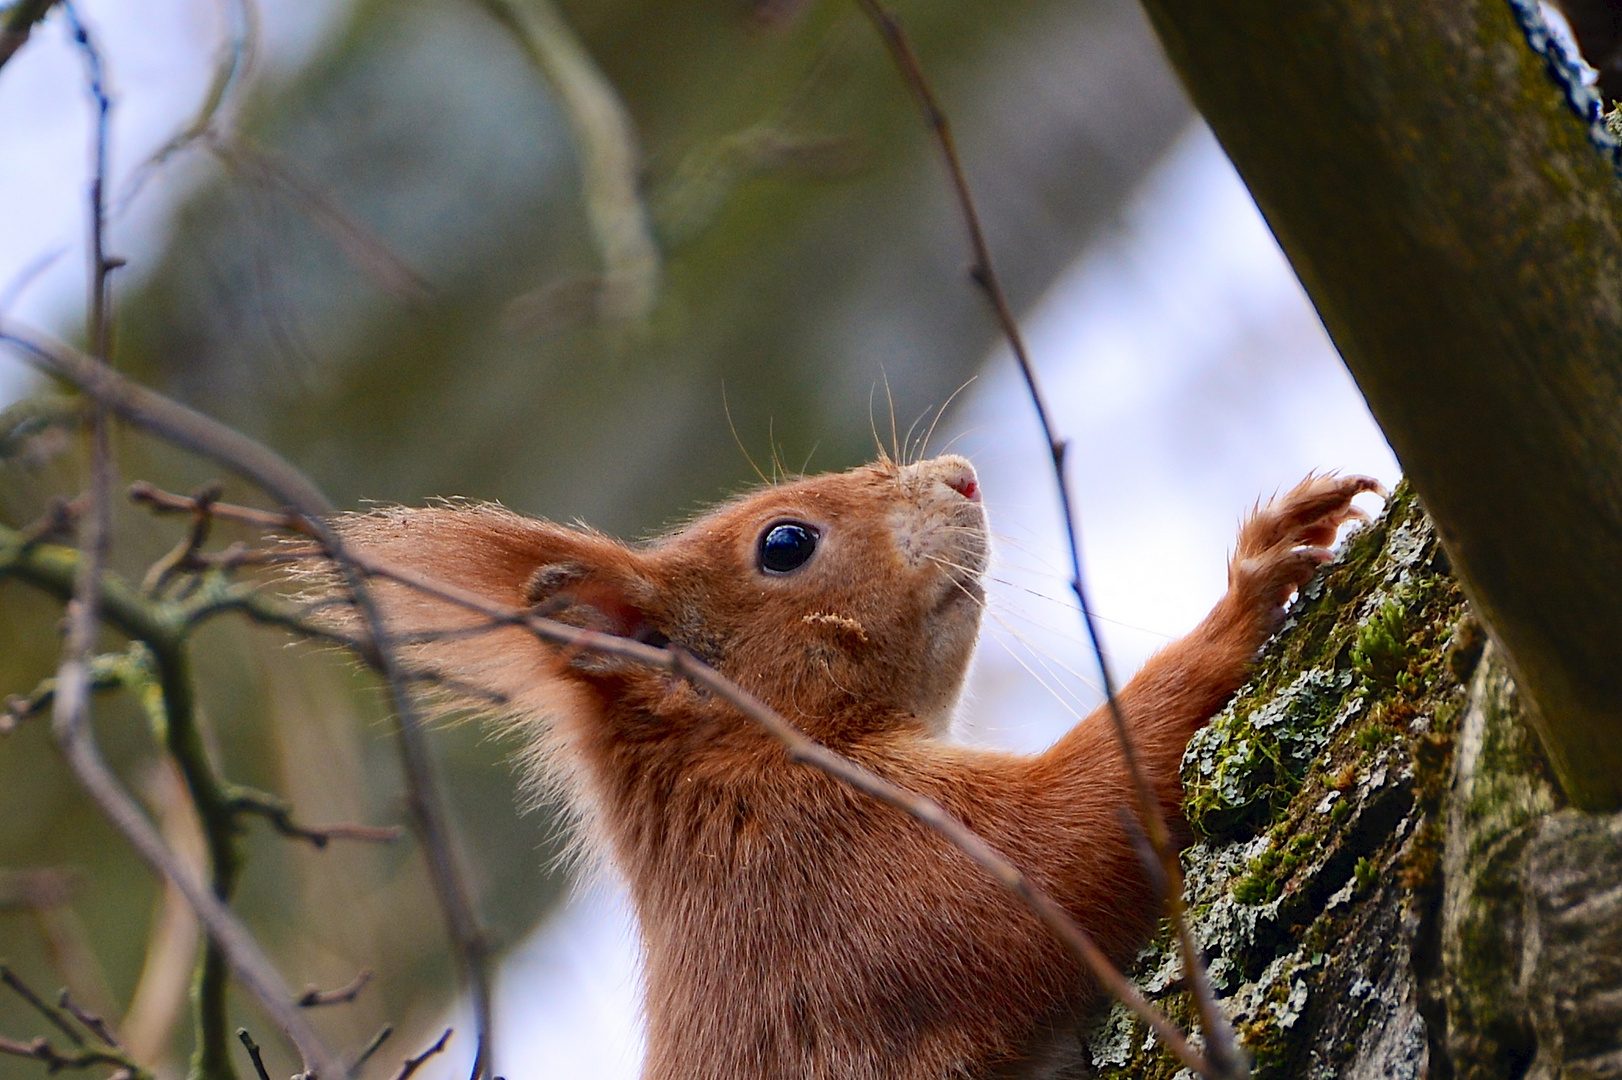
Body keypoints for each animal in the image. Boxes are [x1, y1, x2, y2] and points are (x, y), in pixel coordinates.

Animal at [332, 457, 1381, 1076]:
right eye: (785, 543)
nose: (962, 475)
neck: (752, 761)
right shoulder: (845, 874)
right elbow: (1065, 843)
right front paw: (1246, 592)